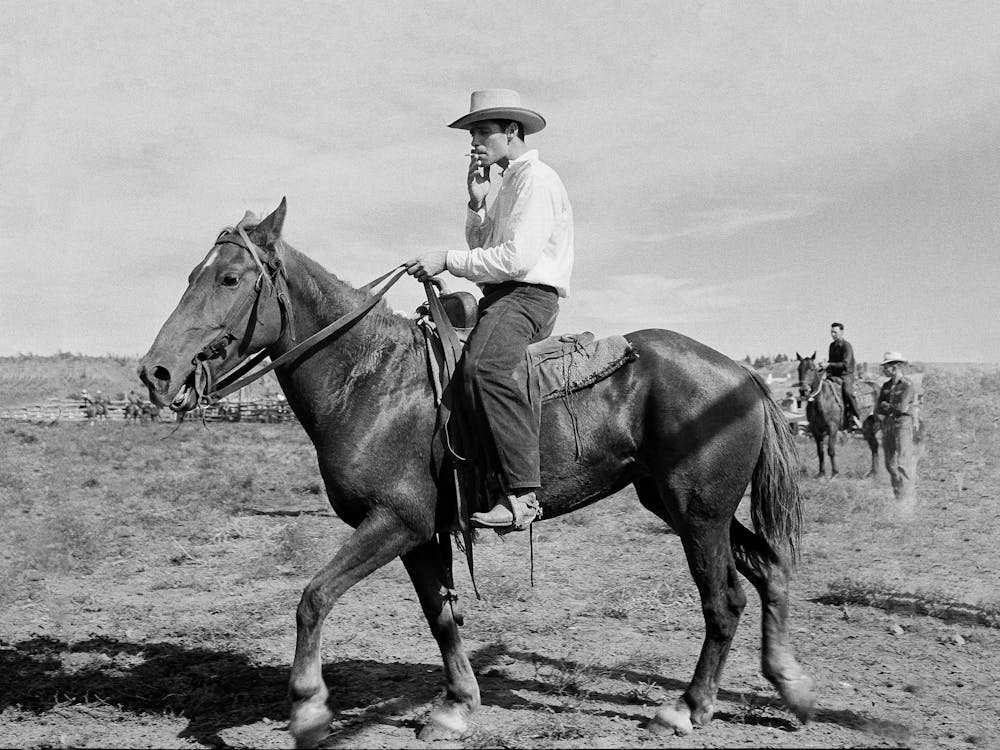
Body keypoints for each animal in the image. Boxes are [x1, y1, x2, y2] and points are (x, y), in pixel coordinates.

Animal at [138, 199, 815, 746]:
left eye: (230, 277)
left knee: (724, 599)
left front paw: (307, 709)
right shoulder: (422, 535)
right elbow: (440, 617)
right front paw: (456, 707)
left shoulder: (396, 521)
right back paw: (791, 686)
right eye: (192, 275)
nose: (155, 373)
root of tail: (743, 375)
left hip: (698, 511)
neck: (368, 378)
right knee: (770, 569)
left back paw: (686, 708)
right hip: (682, 504)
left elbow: (314, 597)